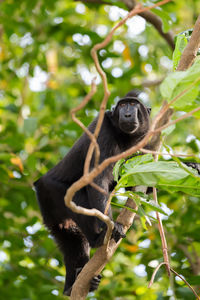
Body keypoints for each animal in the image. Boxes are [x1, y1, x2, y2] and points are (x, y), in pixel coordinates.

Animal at [33, 92, 151, 296]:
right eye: (123, 105)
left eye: (134, 105)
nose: (127, 114)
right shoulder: (103, 130)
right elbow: (96, 179)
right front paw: (112, 224)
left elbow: (133, 183)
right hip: (48, 192)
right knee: (76, 195)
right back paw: (98, 239)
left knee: (71, 238)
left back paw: (73, 284)